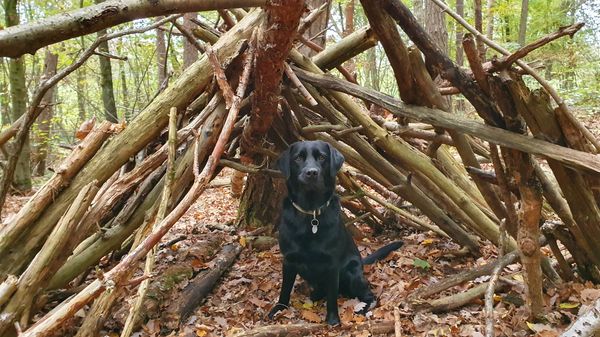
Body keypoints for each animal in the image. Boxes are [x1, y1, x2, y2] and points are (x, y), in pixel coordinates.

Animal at [270, 139, 404, 322]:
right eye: (298, 158)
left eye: (322, 157)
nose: (312, 173)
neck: (311, 213)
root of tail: (361, 262)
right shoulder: (289, 260)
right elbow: (284, 290)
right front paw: (278, 309)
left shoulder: (332, 265)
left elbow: (332, 296)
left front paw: (333, 320)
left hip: (352, 273)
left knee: (369, 296)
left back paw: (363, 308)